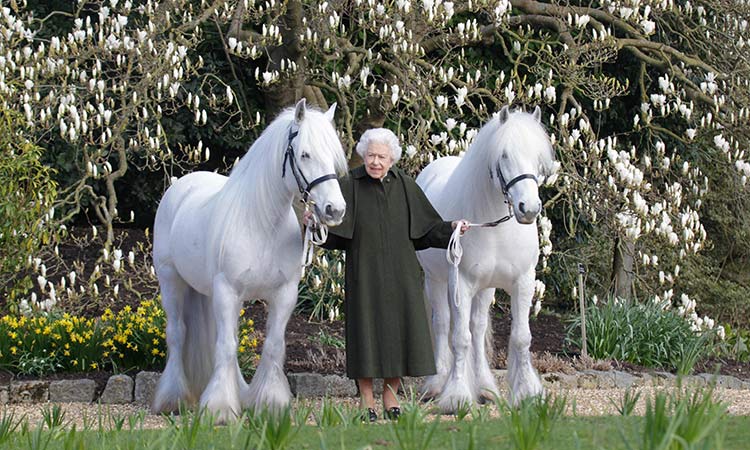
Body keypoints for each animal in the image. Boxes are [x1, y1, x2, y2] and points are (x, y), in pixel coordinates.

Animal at [151, 98, 350, 422]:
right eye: (305, 154)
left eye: (334, 157)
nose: (335, 209)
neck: (261, 224)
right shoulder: (227, 291)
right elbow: (226, 347)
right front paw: (219, 409)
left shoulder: (283, 294)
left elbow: (272, 346)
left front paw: (270, 403)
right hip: (172, 282)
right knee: (178, 334)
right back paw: (173, 399)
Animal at [418, 105, 560, 412]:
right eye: (504, 155)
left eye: (538, 157)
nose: (529, 209)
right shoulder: (460, 282)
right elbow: (460, 339)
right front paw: (456, 397)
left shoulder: (523, 282)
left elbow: (520, 337)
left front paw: (527, 393)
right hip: (436, 281)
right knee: (442, 324)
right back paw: (437, 384)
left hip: (485, 289)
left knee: (477, 325)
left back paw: (485, 388)